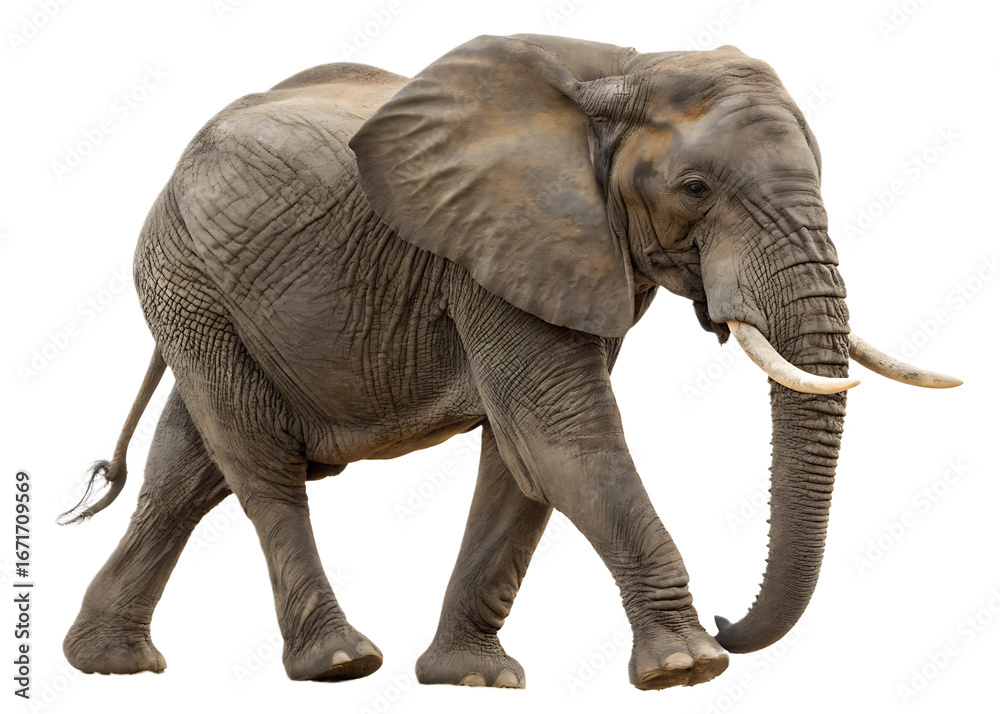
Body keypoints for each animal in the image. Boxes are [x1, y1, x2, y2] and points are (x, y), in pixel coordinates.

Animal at [61, 33, 961, 690]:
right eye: (697, 188)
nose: (731, 624)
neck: (623, 68)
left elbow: (521, 459)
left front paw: (473, 679)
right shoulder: (492, 246)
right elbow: (561, 434)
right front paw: (686, 667)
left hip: (206, 292)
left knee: (188, 471)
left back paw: (108, 664)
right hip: (185, 277)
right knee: (258, 462)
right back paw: (339, 663)